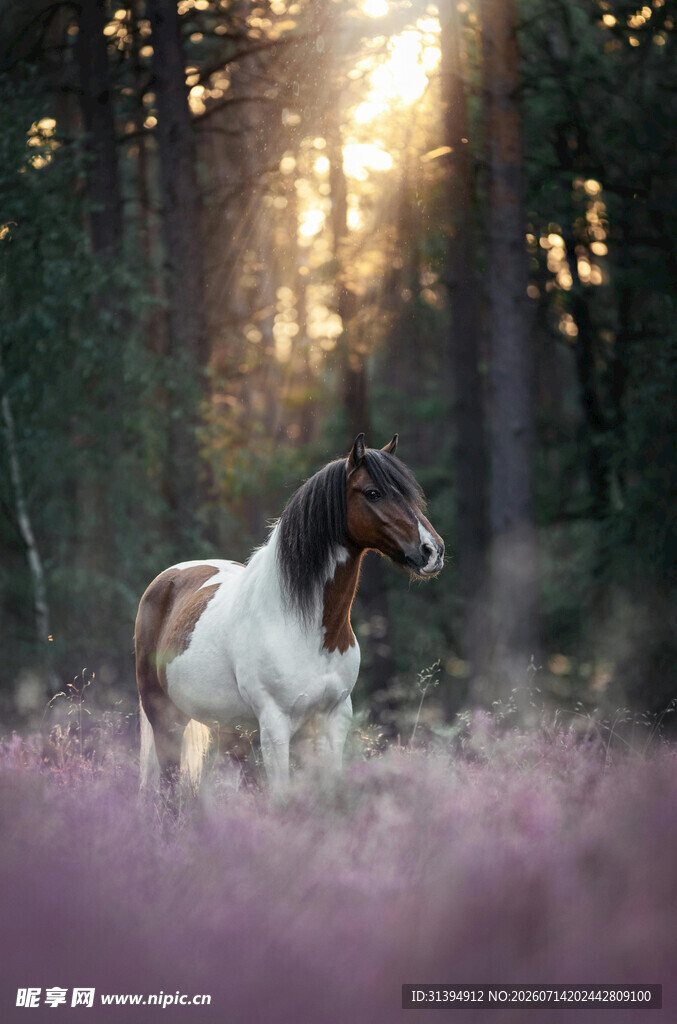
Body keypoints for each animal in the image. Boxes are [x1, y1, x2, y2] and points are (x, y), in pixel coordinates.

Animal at [135, 433, 444, 795]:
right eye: (373, 493)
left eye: (409, 492)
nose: (432, 551)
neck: (303, 626)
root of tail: (167, 579)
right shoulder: (275, 726)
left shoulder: (333, 720)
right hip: (166, 718)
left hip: (231, 729)